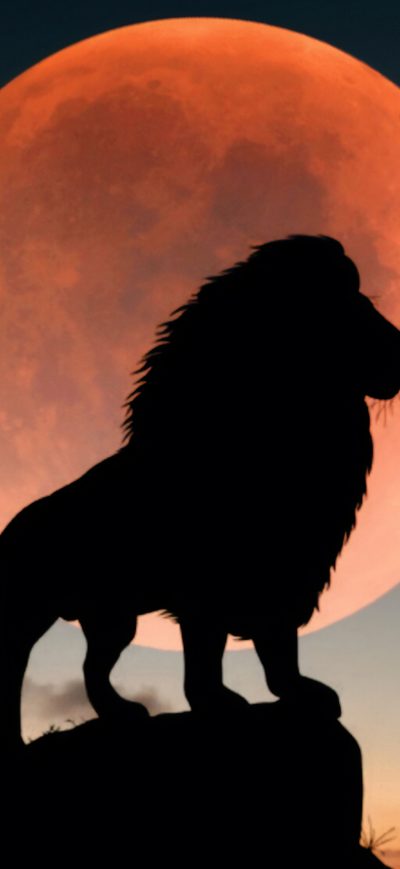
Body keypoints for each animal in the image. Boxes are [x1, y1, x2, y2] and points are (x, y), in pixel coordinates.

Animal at [3, 235, 400, 745]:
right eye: (351, 310)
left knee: (94, 667)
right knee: (16, 666)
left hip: (112, 616)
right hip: (31, 610)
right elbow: (207, 654)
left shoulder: (289, 576)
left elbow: (278, 650)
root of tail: (10, 529)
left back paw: (123, 713)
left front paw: (301, 694)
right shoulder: (208, 589)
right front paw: (219, 703)